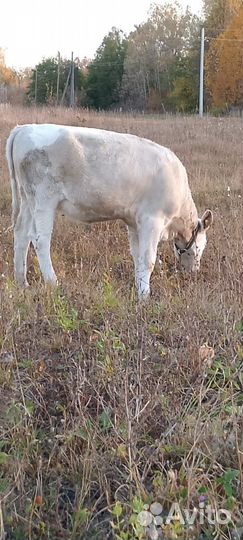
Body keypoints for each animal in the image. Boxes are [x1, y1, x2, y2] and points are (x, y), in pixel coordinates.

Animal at [4, 123, 212, 300]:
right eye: (200, 247)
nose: (194, 272)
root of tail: (24, 128)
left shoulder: (134, 223)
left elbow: (137, 256)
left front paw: (139, 287)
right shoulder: (152, 219)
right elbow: (147, 259)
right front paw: (145, 296)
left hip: (27, 199)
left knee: (21, 234)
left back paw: (22, 282)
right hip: (43, 199)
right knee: (40, 240)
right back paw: (53, 283)